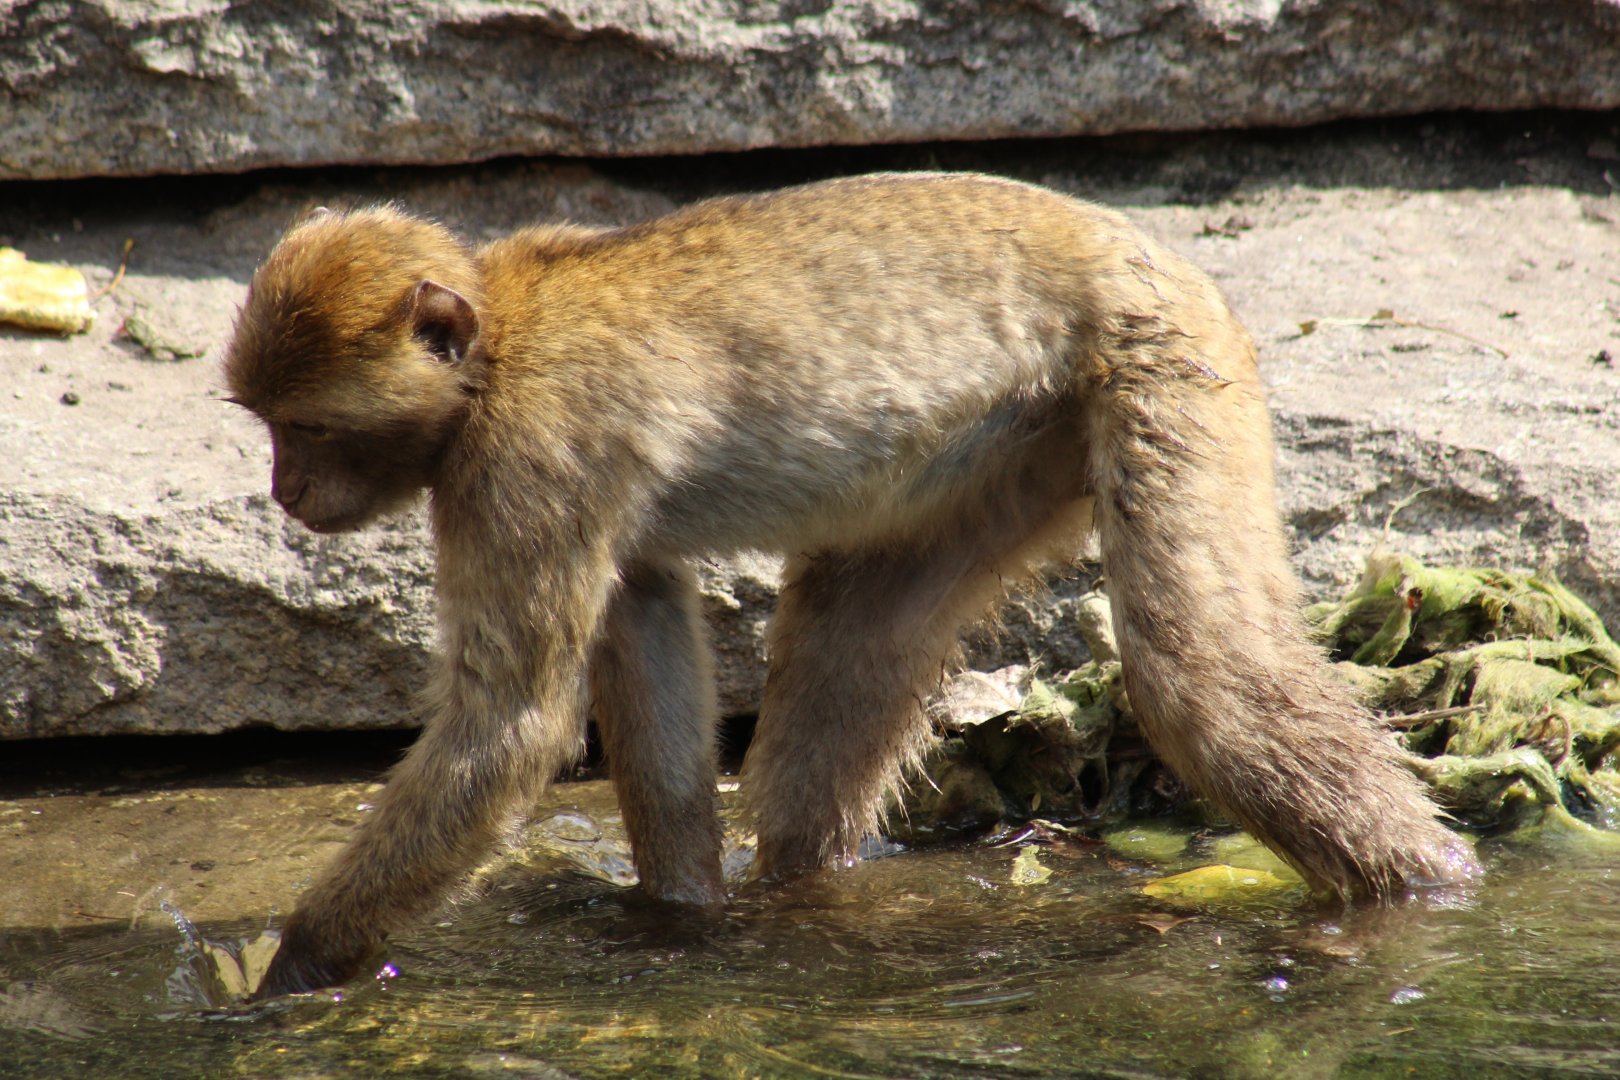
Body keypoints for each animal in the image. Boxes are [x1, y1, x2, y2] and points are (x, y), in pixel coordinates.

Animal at [224, 173, 1479, 998]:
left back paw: (1429, 895)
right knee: (848, 650)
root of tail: (1143, 245)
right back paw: (802, 893)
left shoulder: (525, 458)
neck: (496, 348)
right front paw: (678, 918)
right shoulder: (578, 493)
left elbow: (510, 730)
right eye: (269, 426)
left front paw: (288, 974)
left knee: (1206, 680)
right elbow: (643, 631)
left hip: (1162, 360)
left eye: (310, 426)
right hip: (1009, 456)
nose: (287, 489)